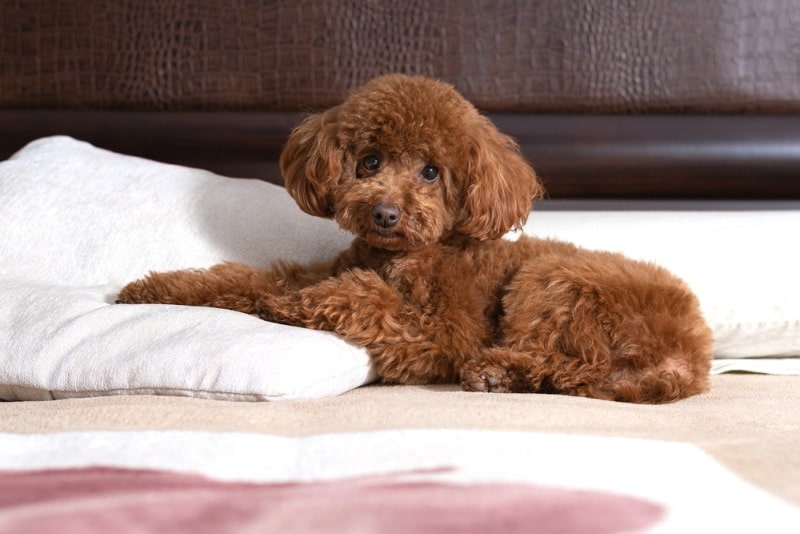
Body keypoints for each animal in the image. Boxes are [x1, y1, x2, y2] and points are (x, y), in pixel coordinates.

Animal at [117, 74, 712, 402]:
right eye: (369, 161)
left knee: (579, 366)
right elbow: (243, 277)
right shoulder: (322, 265)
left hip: (549, 279)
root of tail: (691, 354)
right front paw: (151, 289)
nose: (384, 213)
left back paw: (497, 372)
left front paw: (291, 306)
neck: (402, 254)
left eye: (431, 172)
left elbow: (365, 299)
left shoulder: (446, 333)